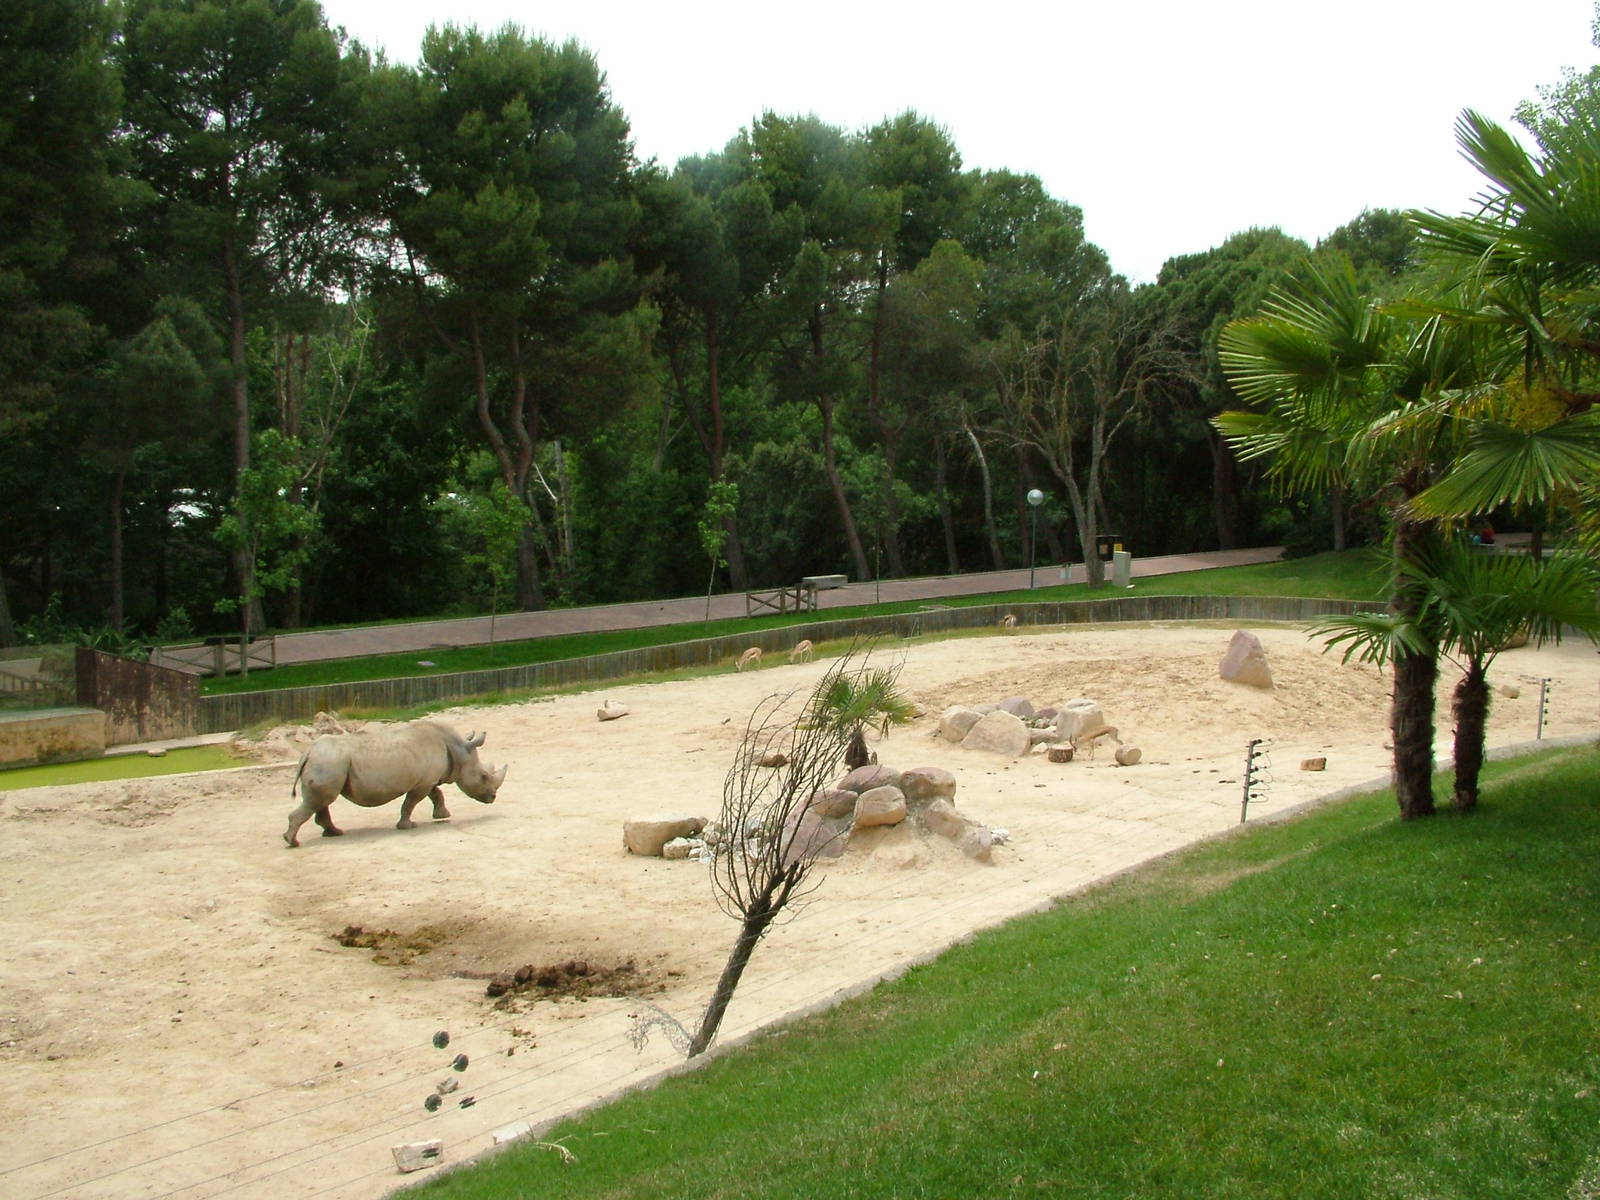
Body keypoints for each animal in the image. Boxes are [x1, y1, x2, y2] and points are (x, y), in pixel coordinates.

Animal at [284, 720, 508, 848]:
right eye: (483, 776)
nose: (493, 797)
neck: (458, 750)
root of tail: (308, 752)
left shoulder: (427, 779)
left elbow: (436, 794)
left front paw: (442, 815)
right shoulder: (421, 783)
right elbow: (410, 803)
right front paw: (408, 826)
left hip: (329, 763)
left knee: (321, 802)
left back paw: (334, 833)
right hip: (329, 763)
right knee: (319, 801)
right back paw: (293, 842)